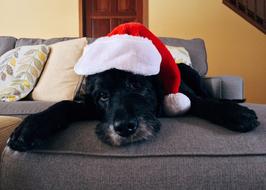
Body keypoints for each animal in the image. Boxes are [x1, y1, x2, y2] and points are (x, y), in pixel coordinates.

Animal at [7, 63, 258, 151]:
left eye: (136, 84)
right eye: (103, 96)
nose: (124, 128)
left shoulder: (186, 97)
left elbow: (205, 103)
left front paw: (236, 113)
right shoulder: (89, 107)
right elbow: (64, 105)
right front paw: (30, 127)